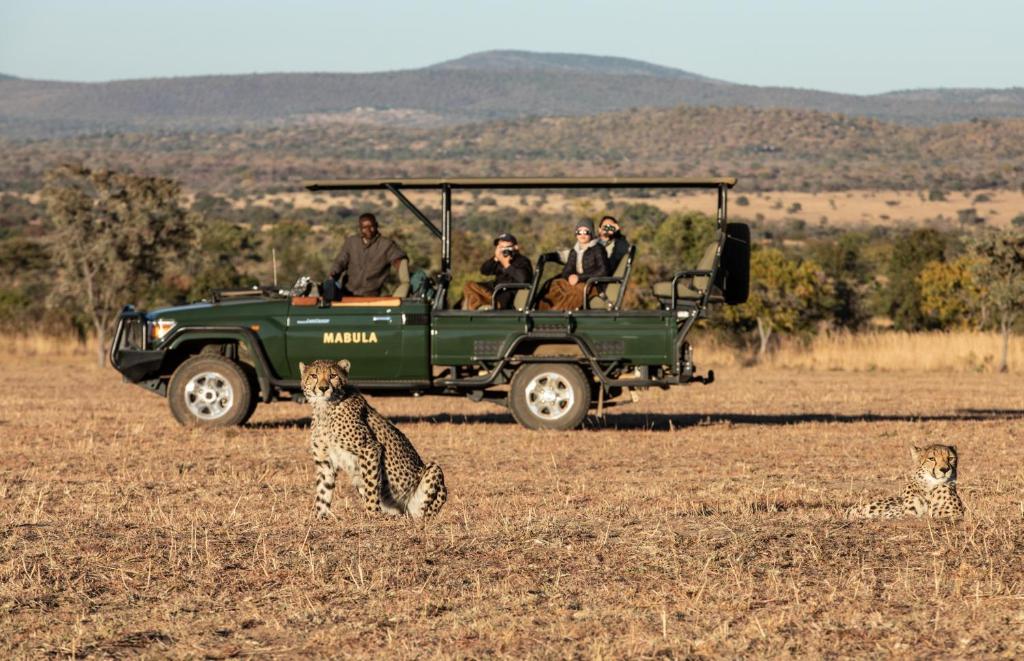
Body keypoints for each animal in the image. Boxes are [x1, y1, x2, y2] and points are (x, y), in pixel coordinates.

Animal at [300, 359, 447, 520]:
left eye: (333, 376)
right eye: (313, 375)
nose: (323, 388)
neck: (324, 408)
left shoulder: (369, 448)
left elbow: (371, 485)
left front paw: (372, 514)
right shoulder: (325, 461)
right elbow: (323, 491)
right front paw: (318, 517)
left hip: (433, 470)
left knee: (423, 513)